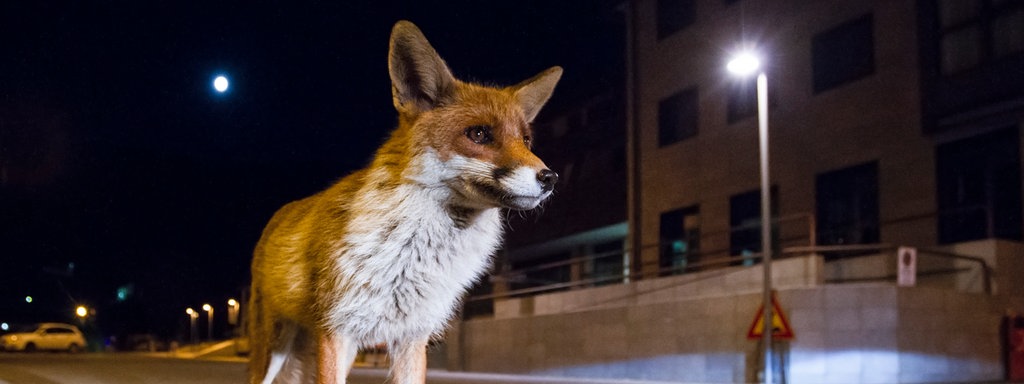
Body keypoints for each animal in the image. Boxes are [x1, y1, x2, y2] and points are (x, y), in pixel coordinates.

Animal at [248, 20, 565, 384]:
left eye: (526, 140)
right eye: (479, 134)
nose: (550, 178)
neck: (410, 254)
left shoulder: (412, 337)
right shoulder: (336, 330)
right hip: (272, 351)